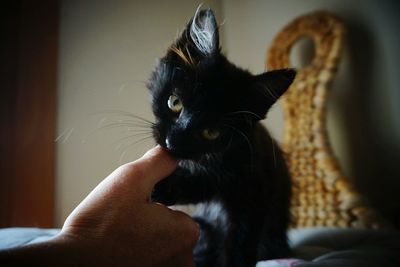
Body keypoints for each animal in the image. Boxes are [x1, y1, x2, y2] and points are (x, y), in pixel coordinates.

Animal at [148, 8, 296, 267]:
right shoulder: (210, 183)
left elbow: (239, 245)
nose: (172, 143)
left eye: (212, 132)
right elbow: (199, 184)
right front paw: (163, 186)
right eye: (175, 102)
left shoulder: (251, 197)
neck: (215, 159)